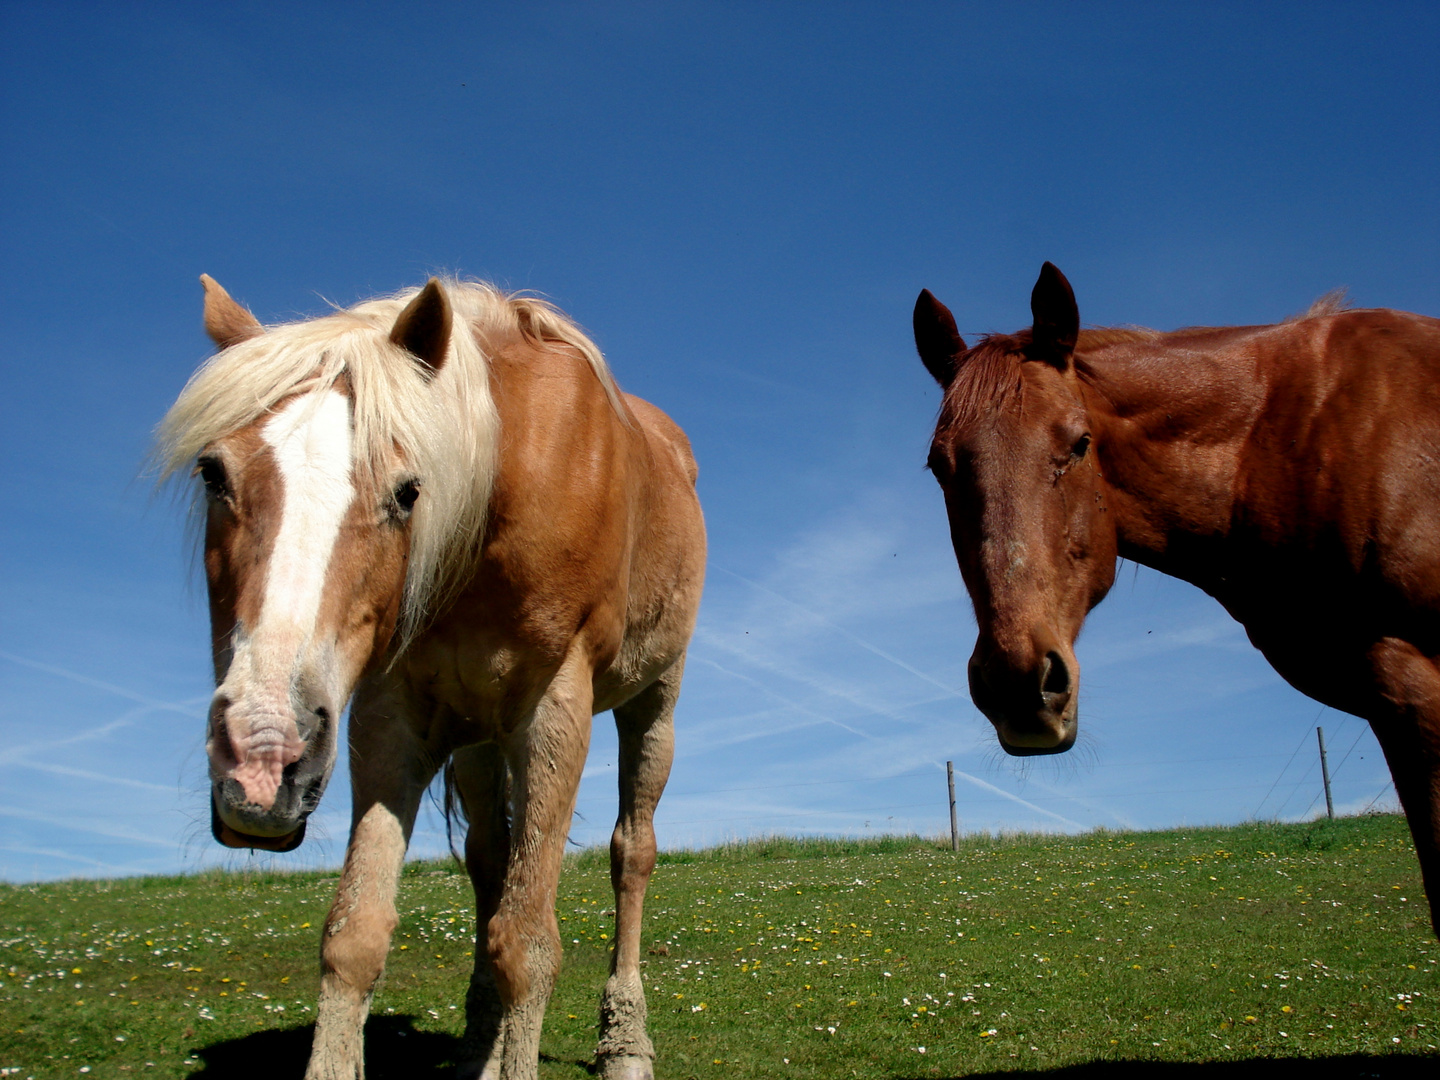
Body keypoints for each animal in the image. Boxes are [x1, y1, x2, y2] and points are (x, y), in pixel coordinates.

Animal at [154, 276, 705, 1080]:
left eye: (409, 491)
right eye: (213, 473)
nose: (263, 759)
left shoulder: (556, 709)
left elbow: (527, 945)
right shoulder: (390, 715)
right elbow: (355, 934)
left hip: (650, 704)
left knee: (631, 854)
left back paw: (625, 1043)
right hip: (478, 737)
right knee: (489, 859)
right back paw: (482, 1041)